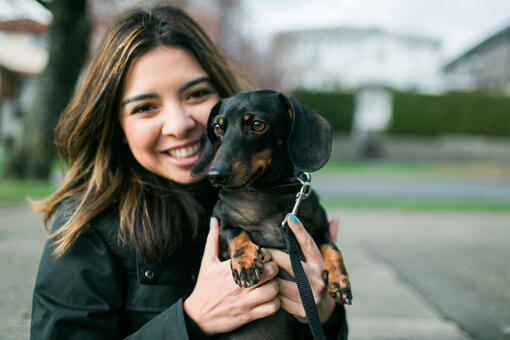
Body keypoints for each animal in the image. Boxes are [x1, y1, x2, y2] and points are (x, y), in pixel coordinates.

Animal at [191, 89, 350, 338]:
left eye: (257, 125)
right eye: (217, 127)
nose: (214, 175)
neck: (268, 192)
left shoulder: (320, 228)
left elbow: (332, 248)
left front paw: (340, 279)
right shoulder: (220, 226)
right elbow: (235, 231)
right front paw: (245, 261)